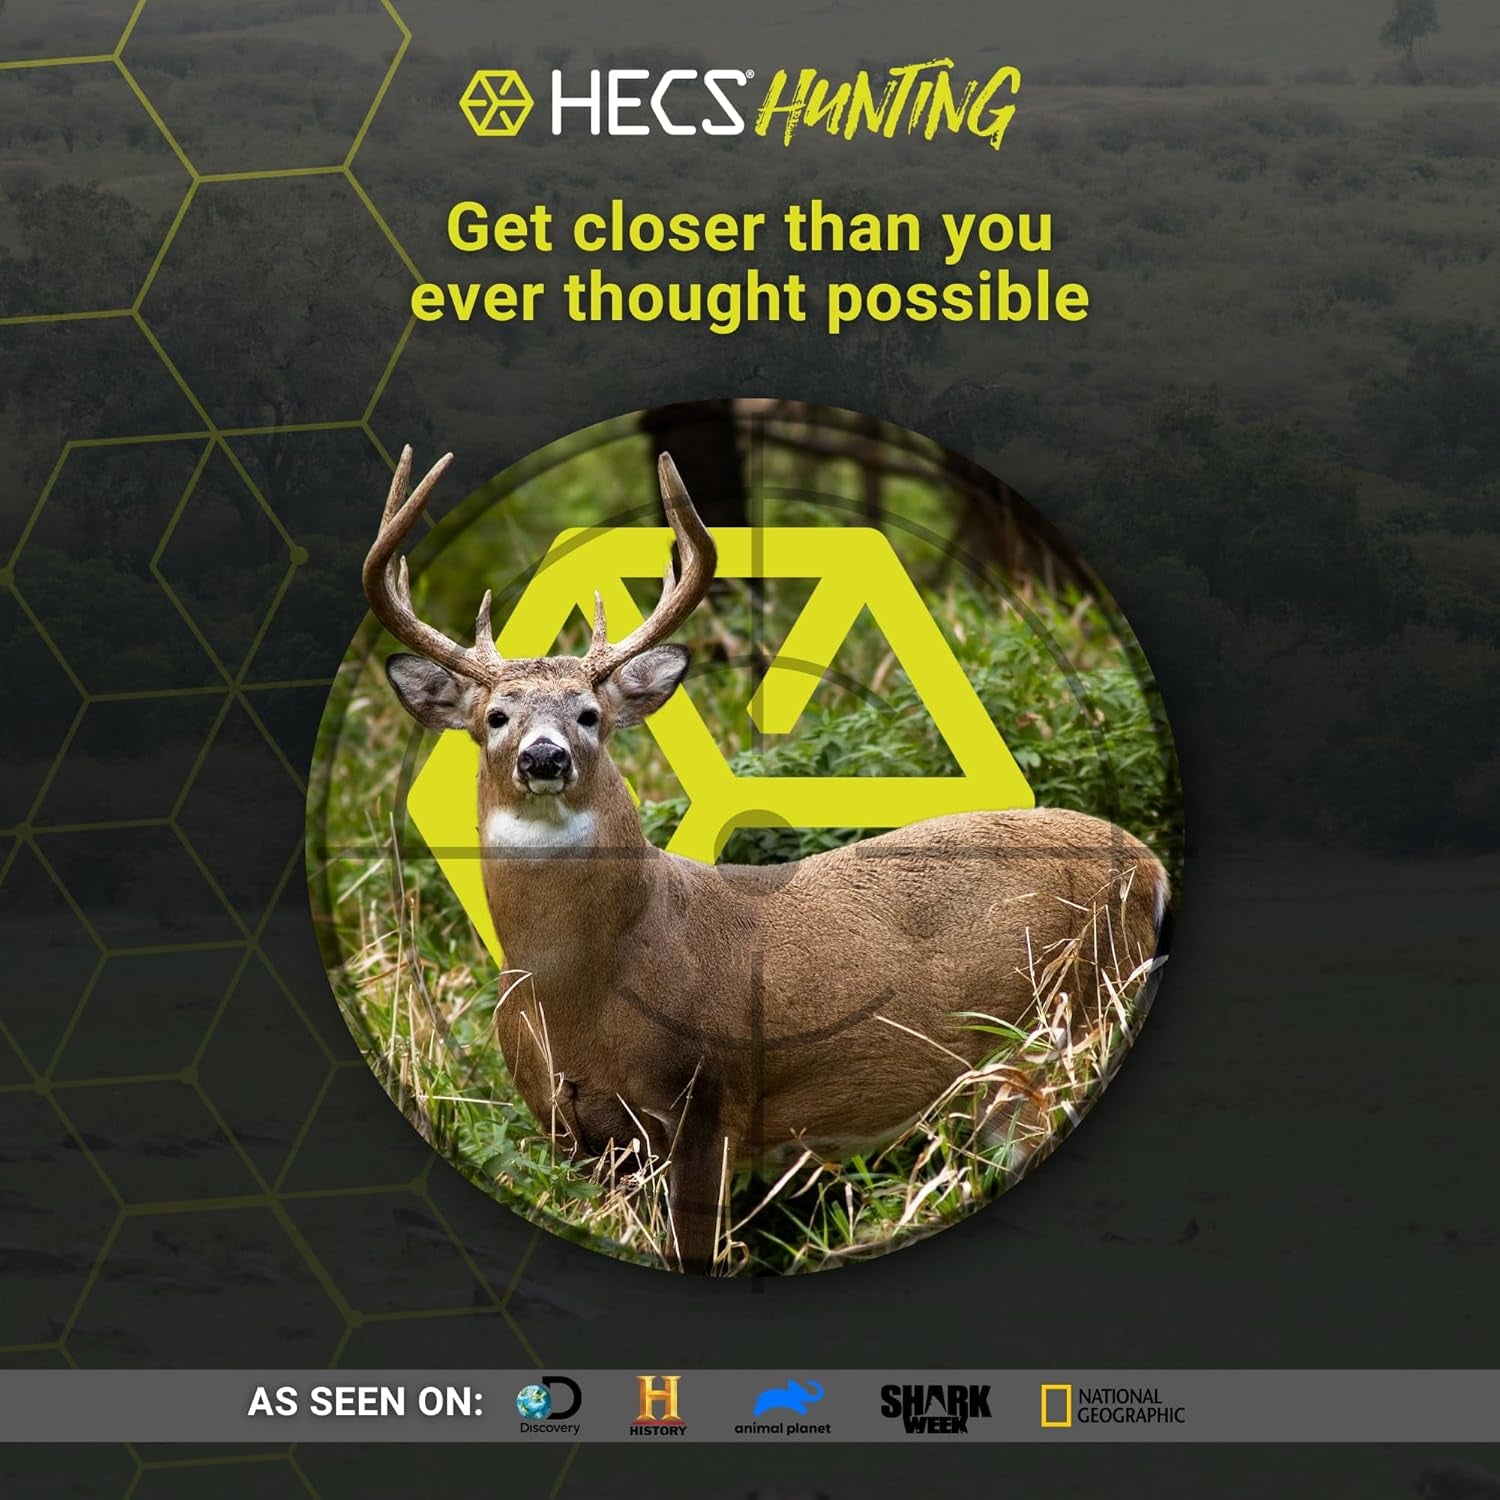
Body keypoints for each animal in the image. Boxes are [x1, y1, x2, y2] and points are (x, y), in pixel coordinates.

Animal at [364, 445, 1170, 1274]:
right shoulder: (572, 1132)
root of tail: (1151, 869)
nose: (545, 757)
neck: (580, 993)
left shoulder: (705, 1101)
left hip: (1069, 1031)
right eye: (496, 716)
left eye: (590, 714)